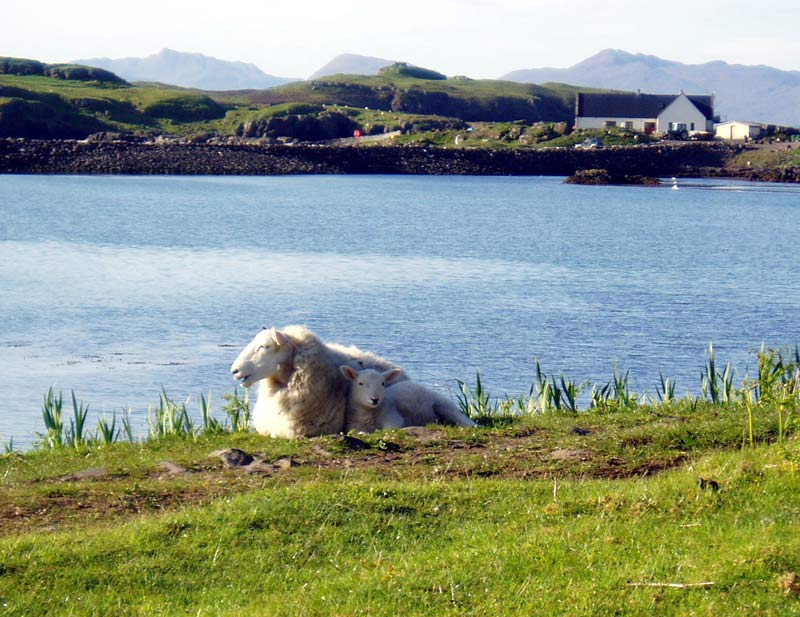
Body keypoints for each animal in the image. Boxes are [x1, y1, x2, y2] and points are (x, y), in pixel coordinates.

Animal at [338, 366, 476, 434]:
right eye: (360, 383)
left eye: (383, 383)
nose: (375, 399)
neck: (368, 412)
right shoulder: (352, 424)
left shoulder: (393, 416)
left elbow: (387, 429)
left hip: (443, 405)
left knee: (466, 421)